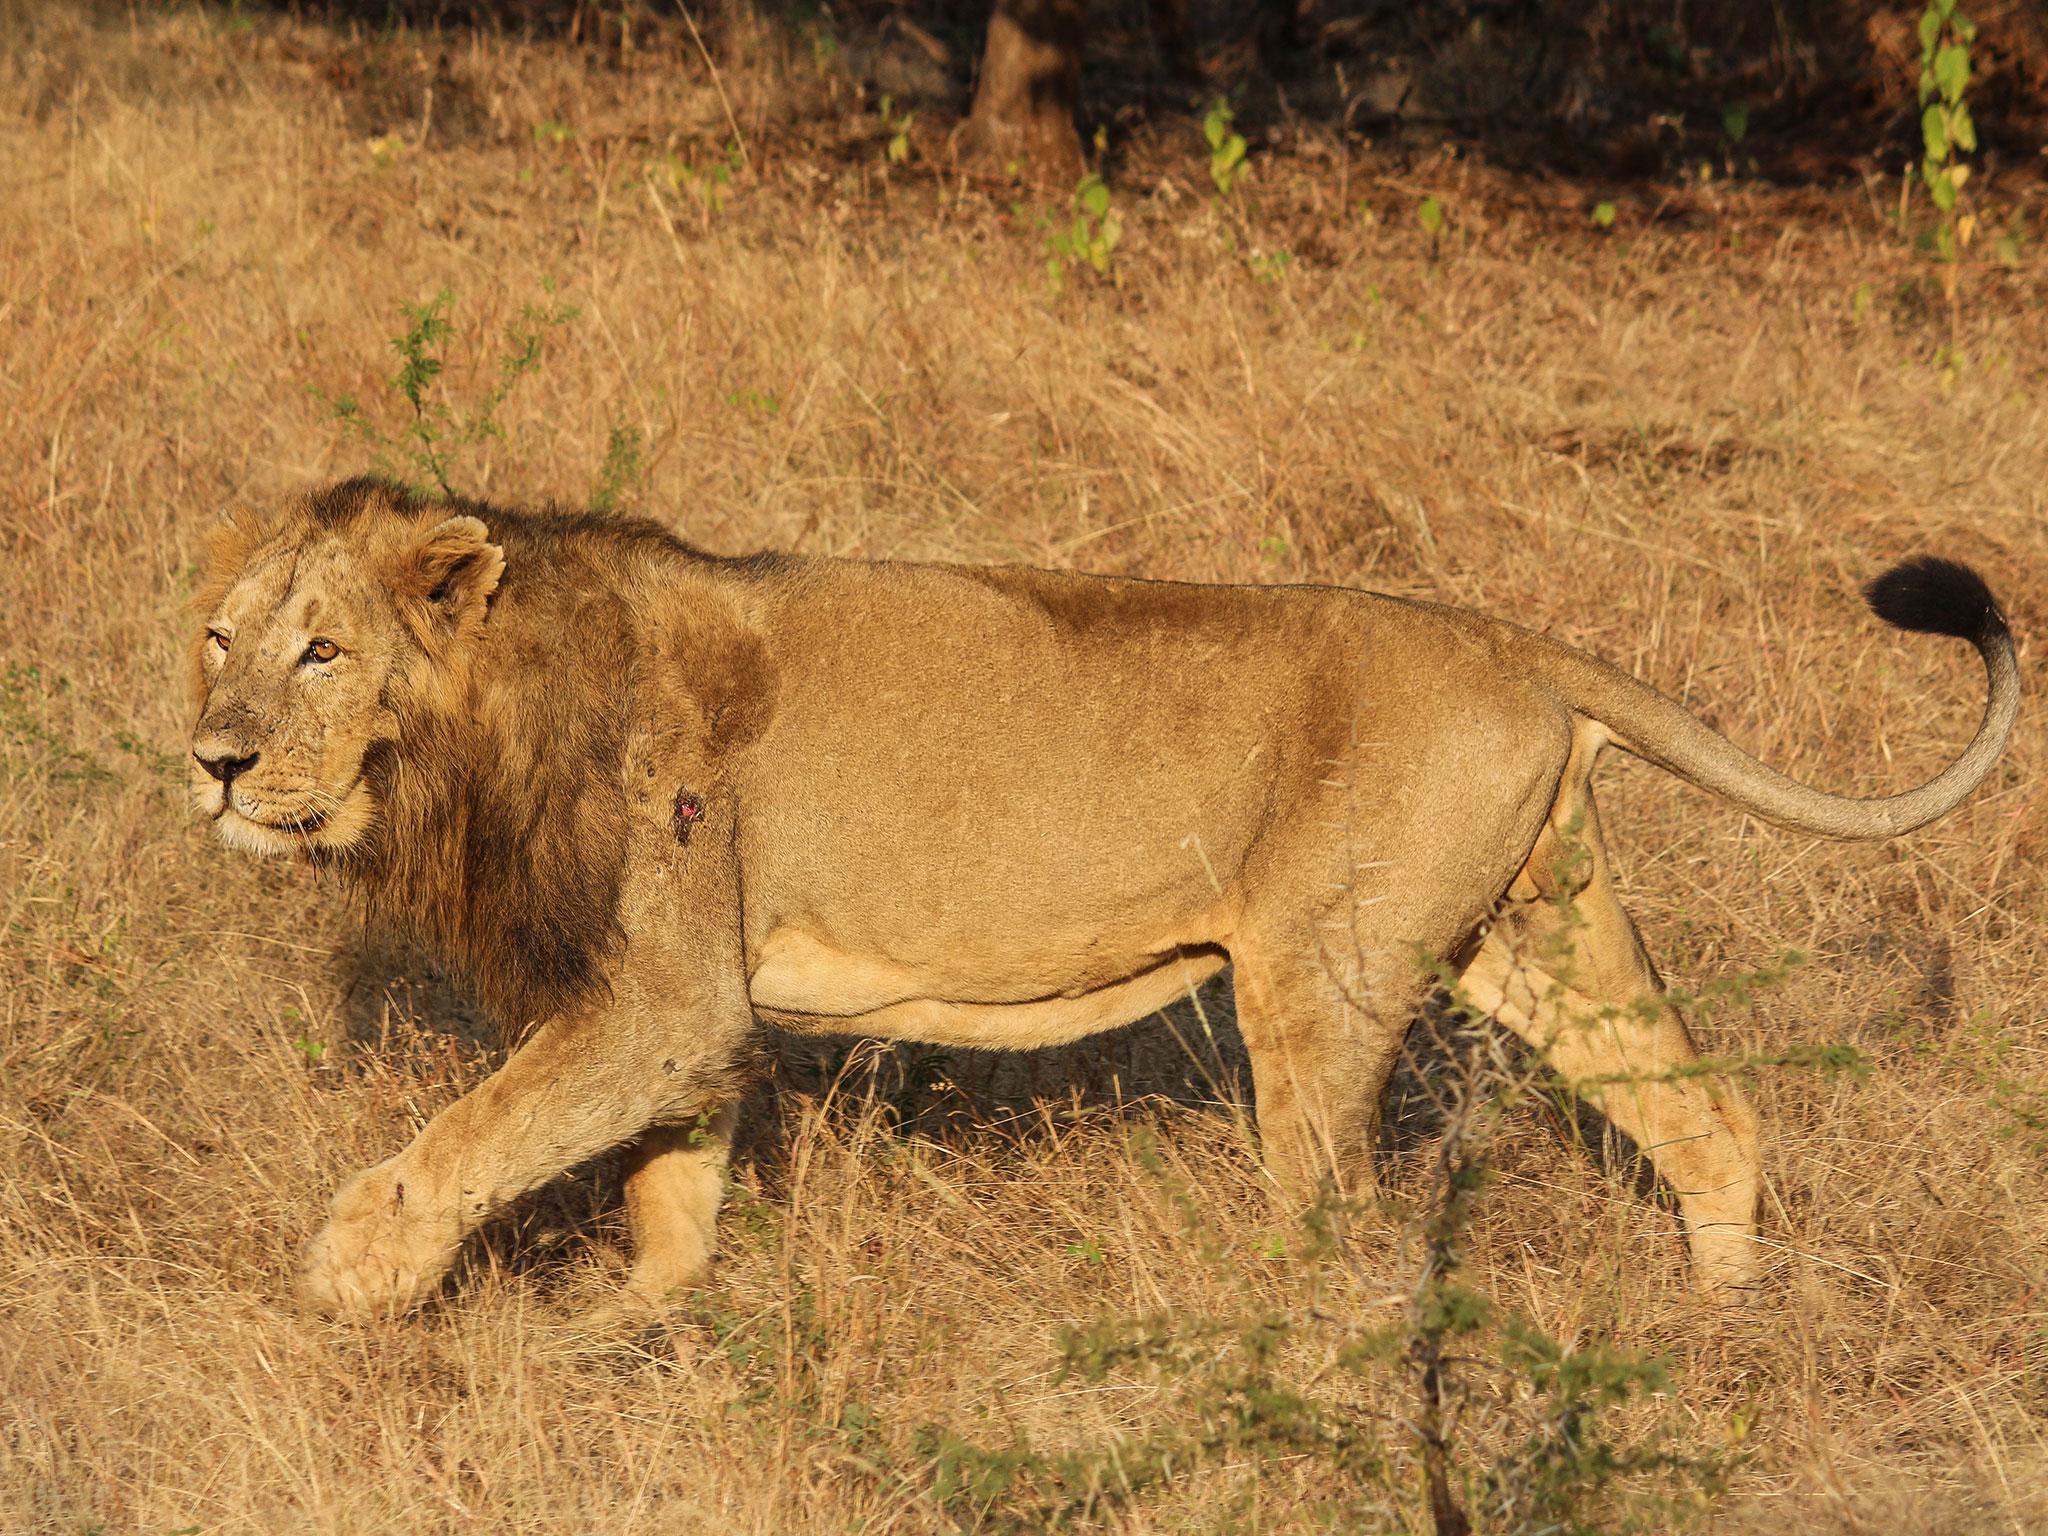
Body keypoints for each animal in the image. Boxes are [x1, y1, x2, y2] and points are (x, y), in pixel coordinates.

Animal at [192, 475, 2015, 1318]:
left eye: (320, 650)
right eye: (218, 637)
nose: (211, 760)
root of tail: (1512, 642)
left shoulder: (658, 994)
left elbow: (475, 1133)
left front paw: (351, 1279)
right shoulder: (689, 1013)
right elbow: (669, 1191)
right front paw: (630, 1336)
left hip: (1321, 977)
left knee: (1337, 1215)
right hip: (1537, 930)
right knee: (1712, 1121)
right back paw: (1717, 1333)